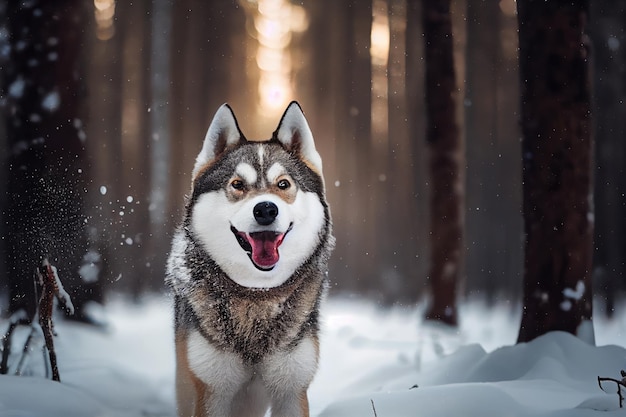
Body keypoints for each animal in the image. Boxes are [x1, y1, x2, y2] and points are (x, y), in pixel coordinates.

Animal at [165, 101, 332, 416]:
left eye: (283, 184)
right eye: (238, 184)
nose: (266, 209)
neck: (257, 297)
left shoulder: (292, 388)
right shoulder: (211, 389)